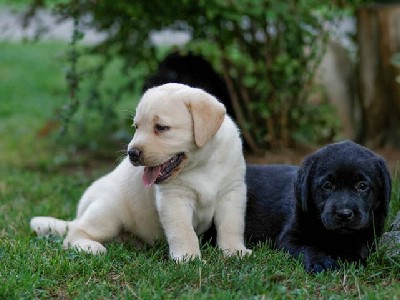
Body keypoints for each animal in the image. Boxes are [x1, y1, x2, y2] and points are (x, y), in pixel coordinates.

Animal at [31, 82, 250, 260]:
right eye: (136, 126)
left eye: (161, 127)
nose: (132, 153)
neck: (202, 165)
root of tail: (79, 214)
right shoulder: (174, 199)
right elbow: (183, 231)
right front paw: (188, 258)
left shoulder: (233, 192)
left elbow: (231, 225)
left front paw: (235, 251)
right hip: (107, 211)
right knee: (74, 233)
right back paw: (91, 247)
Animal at [245, 140, 392, 272]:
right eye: (327, 185)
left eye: (362, 186)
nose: (344, 214)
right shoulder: (288, 238)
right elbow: (307, 248)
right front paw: (320, 262)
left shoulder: (370, 236)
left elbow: (358, 246)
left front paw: (352, 259)